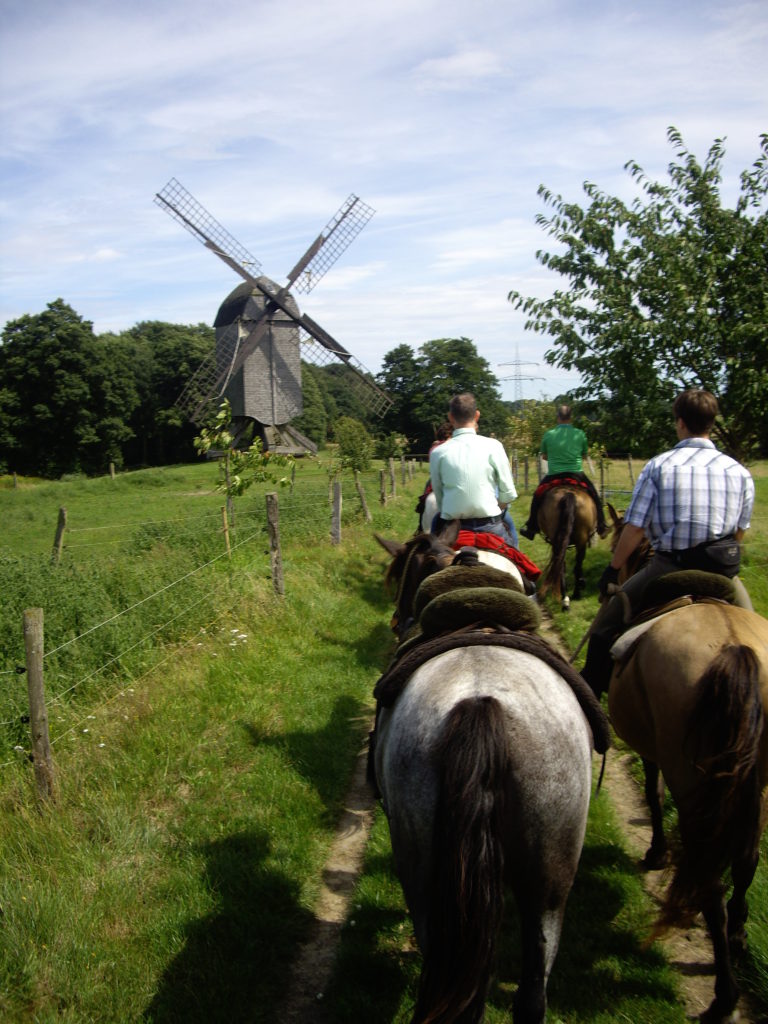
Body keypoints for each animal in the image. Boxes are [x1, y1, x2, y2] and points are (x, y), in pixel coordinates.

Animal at [370, 528, 610, 1024]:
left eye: (402, 576)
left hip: (427, 879)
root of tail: (482, 701)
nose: (398, 621)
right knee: (532, 992)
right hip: (549, 881)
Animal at [606, 512, 768, 1024]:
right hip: (755, 784)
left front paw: (656, 852)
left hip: (693, 779)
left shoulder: (653, 752)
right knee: (745, 861)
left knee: (712, 877)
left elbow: (653, 796)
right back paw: (737, 936)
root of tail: (734, 648)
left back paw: (724, 995)